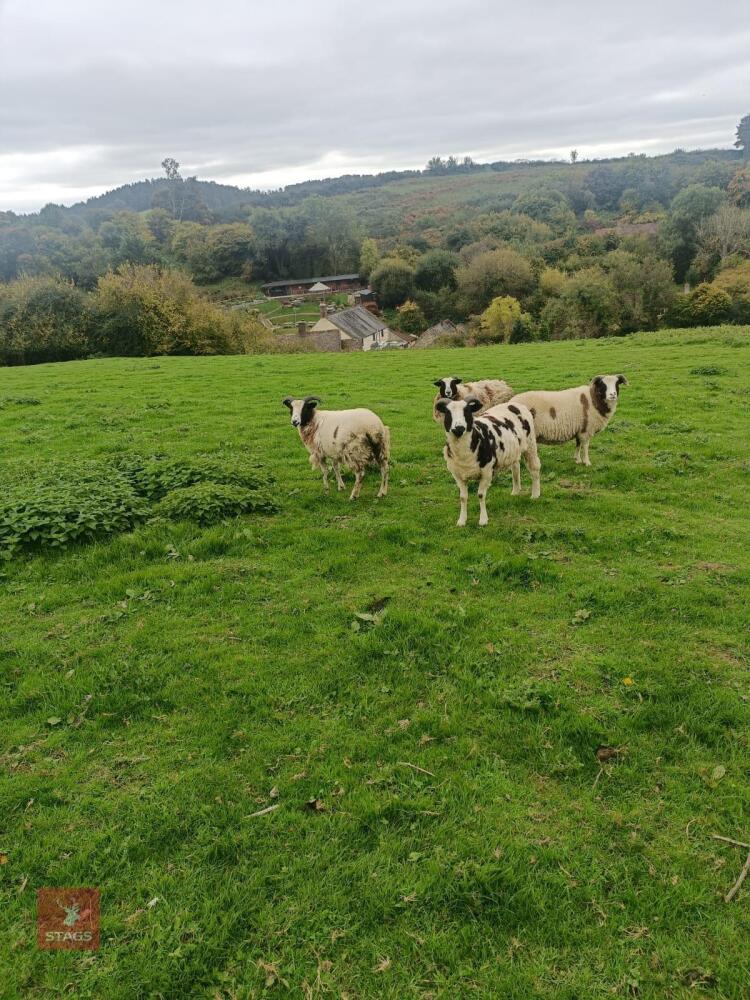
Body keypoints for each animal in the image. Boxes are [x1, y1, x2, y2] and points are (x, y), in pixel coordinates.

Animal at [436, 396, 540, 527]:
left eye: (467, 411)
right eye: (448, 412)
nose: (458, 428)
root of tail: (518, 405)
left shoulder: (486, 472)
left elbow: (481, 495)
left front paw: (483, 520)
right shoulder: (458, 475)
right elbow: (463, 497)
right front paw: (461, 520)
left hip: (530, 444)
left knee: (535, 468)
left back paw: (535, 494)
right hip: (513, 450)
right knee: (516, 467)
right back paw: (515, 491)